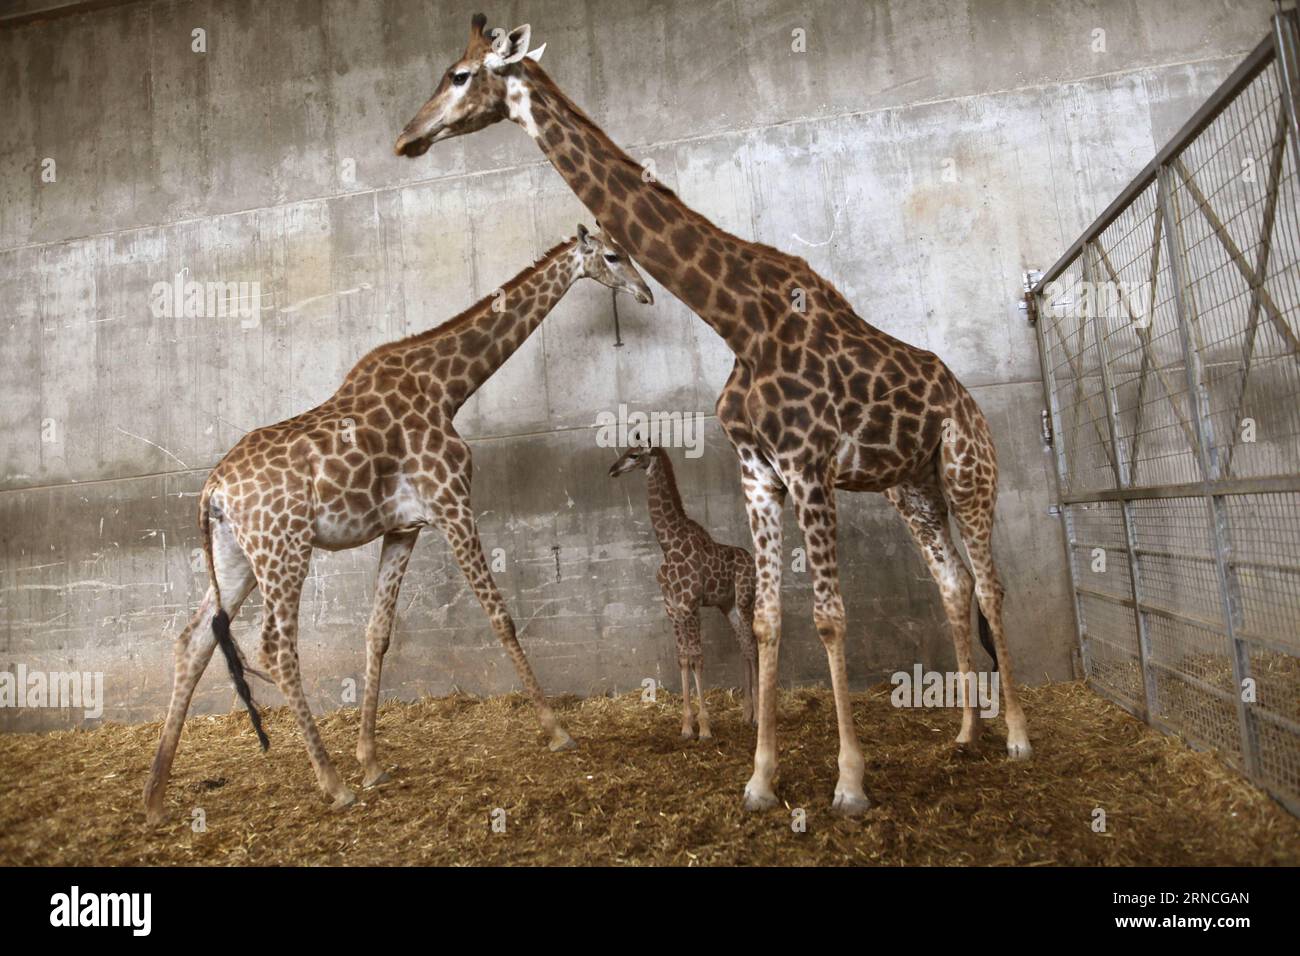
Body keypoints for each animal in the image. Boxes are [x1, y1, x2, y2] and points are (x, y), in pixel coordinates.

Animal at [142, 225, 653, 825]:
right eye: (613, 255)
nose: (646, 293)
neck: (446, 386)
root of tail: (212, 491)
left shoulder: (404, 528)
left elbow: (377, 633)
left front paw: (371, 761)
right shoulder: (452, 503)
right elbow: (500, 616)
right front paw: (558, 731)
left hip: (236, 556)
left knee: (193, 638)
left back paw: (155, 798)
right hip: (283, 548)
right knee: (274, 646)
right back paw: (332, 783)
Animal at [608, 440, 758, 738]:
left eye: (634, 455)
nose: (613, 469)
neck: (669, 544)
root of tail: (753, 564)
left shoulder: (690, 605)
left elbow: (697, 658)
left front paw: (705, 727)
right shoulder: (673, 608)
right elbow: (683, 659)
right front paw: (687, 725)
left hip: (746, 601)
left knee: (754, 646)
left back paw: (760, 715)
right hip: (728, 606)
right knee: (745, 647)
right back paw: (747, 714)